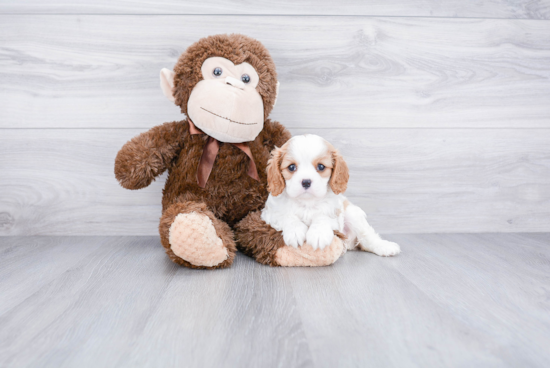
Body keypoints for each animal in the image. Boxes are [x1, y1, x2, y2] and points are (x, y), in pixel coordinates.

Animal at [262, 134, 402, 258]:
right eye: (291, 167)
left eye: (321, 166)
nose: (306, 182)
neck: (307, 202)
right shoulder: (269, 213)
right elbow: (286, 216)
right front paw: (295, 231)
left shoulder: (335, 213)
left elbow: (323, 217)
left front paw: (318, 234)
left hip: (353, 214)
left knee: (367, 237)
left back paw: (384, 247)